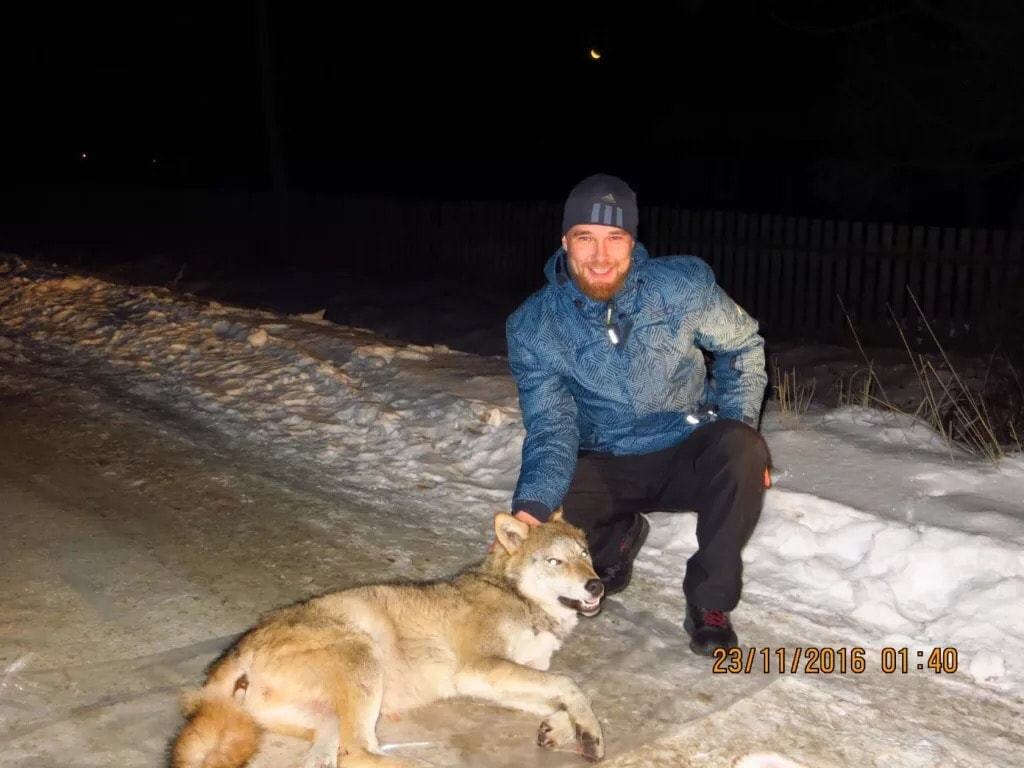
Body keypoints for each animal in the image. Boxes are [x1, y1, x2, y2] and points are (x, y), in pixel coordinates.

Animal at [171, 512, 606, 768]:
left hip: (331, 722)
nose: (597, 586)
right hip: (364, 658)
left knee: (343, 757)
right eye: (555, 561)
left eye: (585, 554)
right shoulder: (480, 669)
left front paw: (565, 730)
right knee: (360, 752)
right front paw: (589, 731)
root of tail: (233, 653)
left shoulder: (498, 679)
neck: (518, 597)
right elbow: (570, 685)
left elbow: (561, 697)